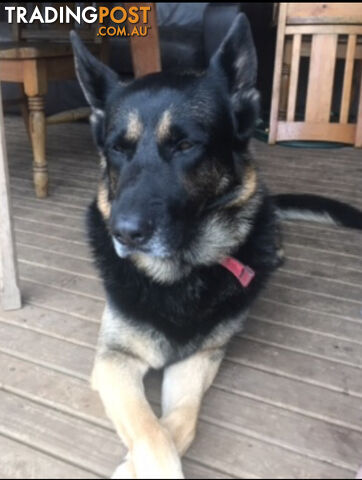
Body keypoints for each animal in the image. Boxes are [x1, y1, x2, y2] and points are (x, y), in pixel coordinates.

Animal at [70, 15, 362, 480]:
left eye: (185, 145)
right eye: (118, 148)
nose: (124, 233)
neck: (178, 276)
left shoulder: (199, 358)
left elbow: (177, 424)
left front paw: (131, 466)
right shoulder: (114, 361)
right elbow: (152, 433)